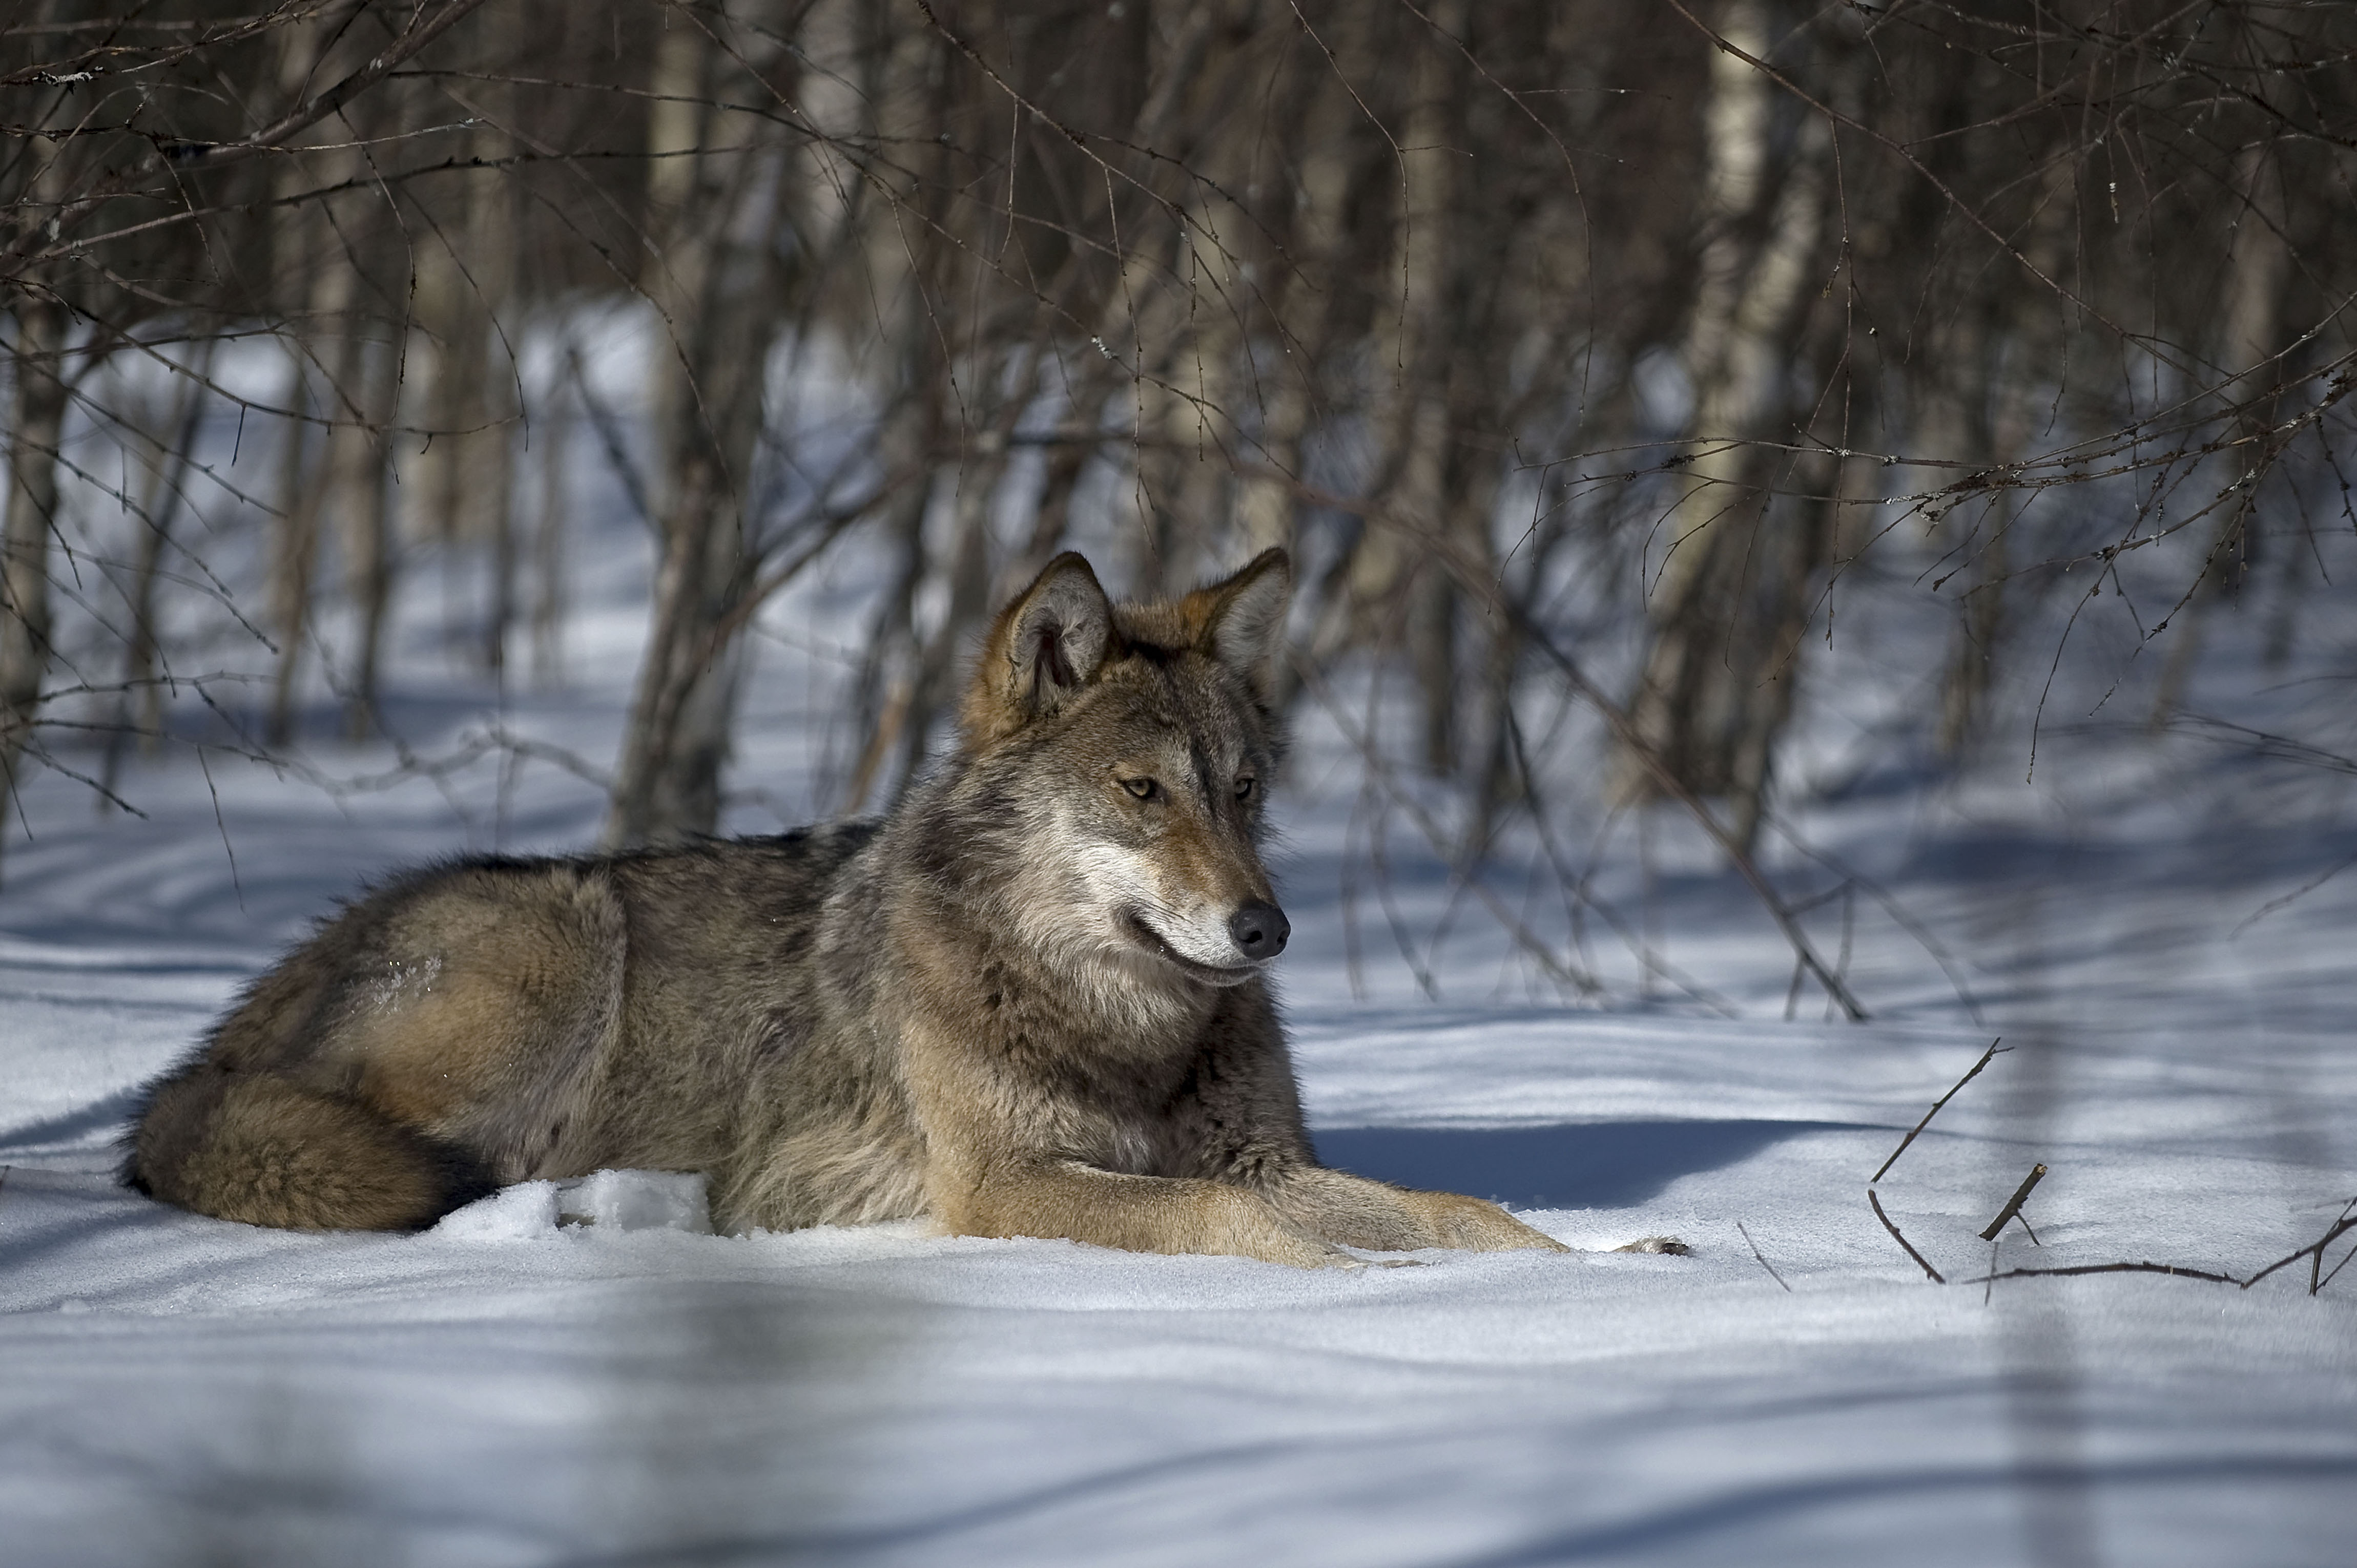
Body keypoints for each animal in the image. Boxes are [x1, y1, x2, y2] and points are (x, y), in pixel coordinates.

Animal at [124, 547, 1603, 1264]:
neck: (1122, 1029)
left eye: (1244, 790)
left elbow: (1454, 1210)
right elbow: (1247, 1230)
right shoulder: (1007, 1184)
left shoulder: (1261, 1158)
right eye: (1141, 793)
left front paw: (1591, 1270)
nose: (1267, 930)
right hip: (563, 947)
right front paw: (1364, 1295)